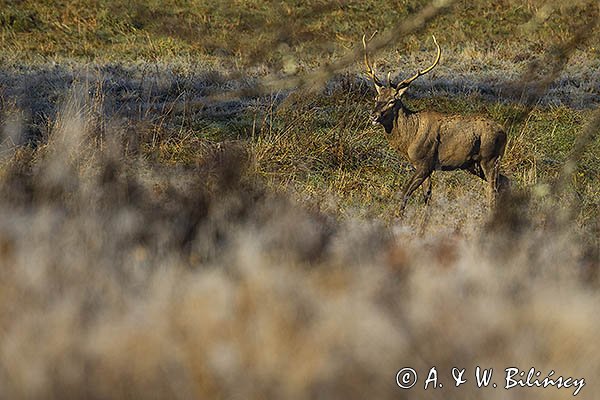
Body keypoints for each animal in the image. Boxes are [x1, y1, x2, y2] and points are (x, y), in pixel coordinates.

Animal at [364, 32, 508, 214]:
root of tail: (504, 131)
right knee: (505, 182)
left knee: (493, 189)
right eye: (376, 98)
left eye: (392, 101)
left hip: (490, 158)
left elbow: (404, 192)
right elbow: (427, 197)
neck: (409, 138)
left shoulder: (425, 162)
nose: (373, 116)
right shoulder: (423, 166)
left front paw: (396, 216)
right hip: (473, 164)